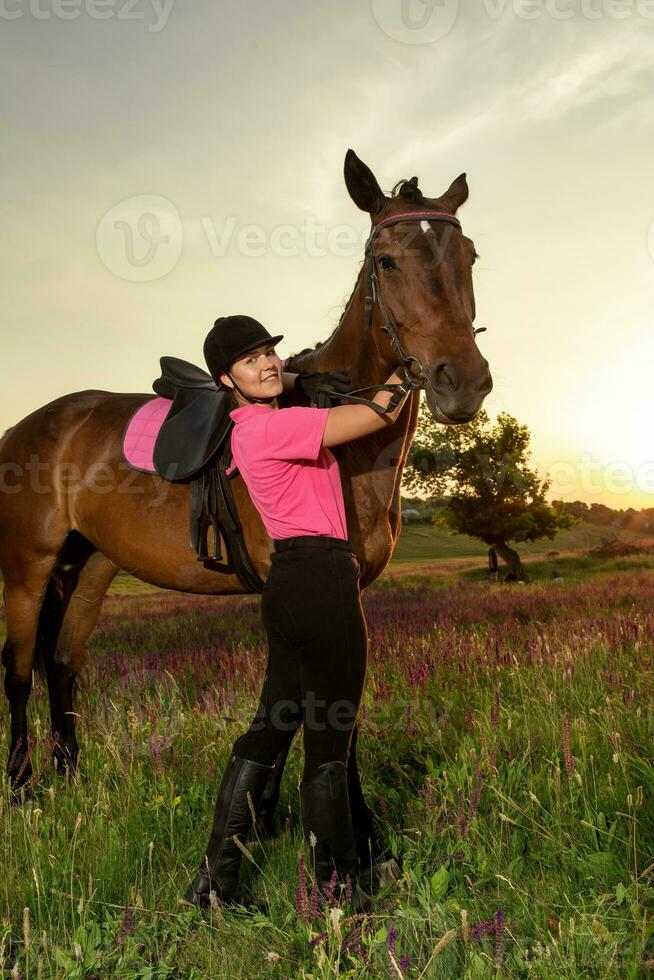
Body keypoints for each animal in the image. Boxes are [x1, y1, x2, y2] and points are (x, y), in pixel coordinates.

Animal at [0, 147, 492, 836]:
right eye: (386, 261)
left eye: (468, 255)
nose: (463, 382)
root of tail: (30, 425)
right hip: (28, 570)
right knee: (19, 672)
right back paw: (22, 789)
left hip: (91, 567)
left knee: (63, 663)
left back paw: (69, 778)